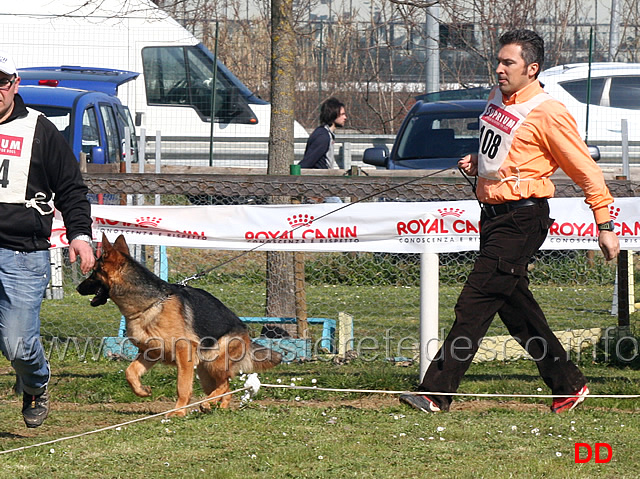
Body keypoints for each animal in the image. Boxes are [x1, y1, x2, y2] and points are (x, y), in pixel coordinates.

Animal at [77, 235, 282, 416]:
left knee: (224, 384)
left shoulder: (184, 353)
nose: (78, 288)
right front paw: (142, 391)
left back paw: (207, 404)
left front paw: (178, 412)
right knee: (226, 388)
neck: (149, 305)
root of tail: (245, 332)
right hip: (204, 372)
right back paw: (217, 407)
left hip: (213, 363)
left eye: (93, 272)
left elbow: (182, 387)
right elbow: (130, 372)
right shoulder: (150, 352)